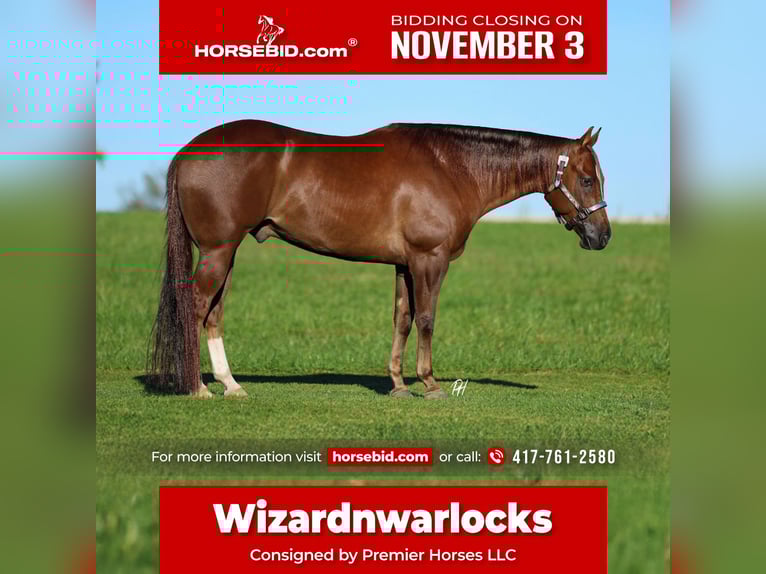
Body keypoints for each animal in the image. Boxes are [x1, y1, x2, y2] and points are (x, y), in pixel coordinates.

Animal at [147, 121, 610, 399]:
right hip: (218, 251)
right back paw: (198, 388)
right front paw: (430, 383)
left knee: (213, 314)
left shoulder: (405, 264)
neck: (451, 168)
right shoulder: (429, 260)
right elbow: (427, 319)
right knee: (195, 308)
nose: (602, 236)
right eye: (587, 179)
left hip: (225, 253)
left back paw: (230, 384)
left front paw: (398, 384)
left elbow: (402, 319)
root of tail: (189, 151)